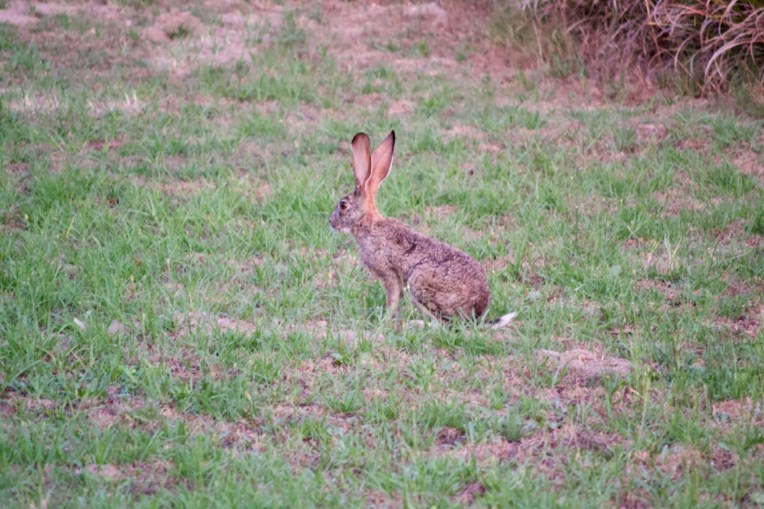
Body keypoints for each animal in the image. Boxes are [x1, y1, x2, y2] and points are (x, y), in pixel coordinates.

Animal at [329, 130, 516, 328]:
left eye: (343, 205)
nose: (330, 221)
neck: (368, 223)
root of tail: (476, 313)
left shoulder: (389, 274)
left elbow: (392, 300)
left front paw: (385, 320)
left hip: (420, 284)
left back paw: (416, 324)